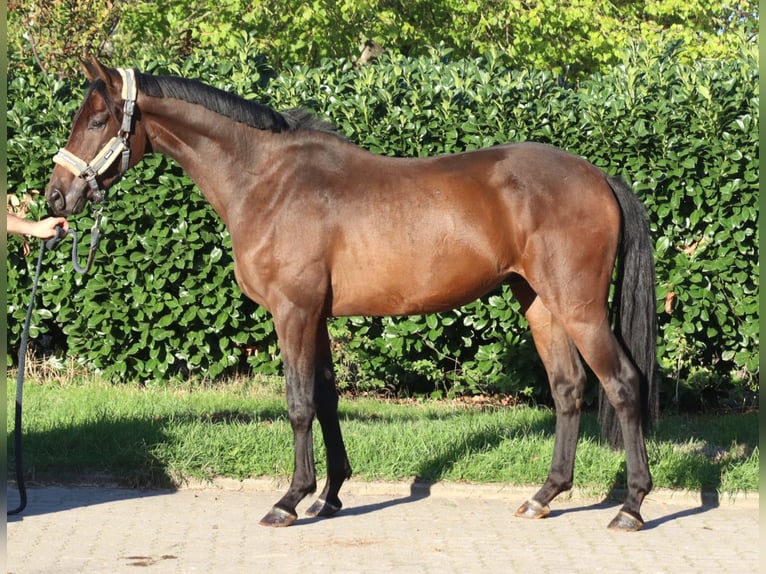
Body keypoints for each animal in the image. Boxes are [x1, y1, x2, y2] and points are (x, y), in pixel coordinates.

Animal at [47, 57, 657, 531]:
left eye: (98, 119)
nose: (56, 197)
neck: (266, 181)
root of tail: (597, 177)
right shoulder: (315, 316)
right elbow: (326, 399)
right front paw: (330, 495)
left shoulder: (292, 312)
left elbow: (298, 404)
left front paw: (289, 500)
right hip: (541, 304)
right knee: (568, 388)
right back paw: (544, 496)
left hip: (579, 308)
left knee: (623, 385)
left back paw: (630, 506)